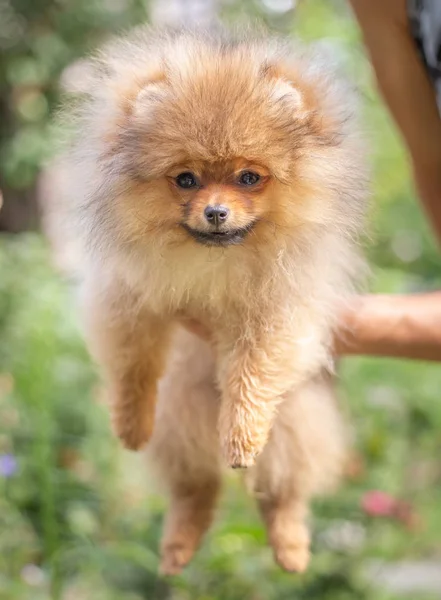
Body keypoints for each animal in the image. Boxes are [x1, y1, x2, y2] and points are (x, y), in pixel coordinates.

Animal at [60, 27, 366, 572]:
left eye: (249, 177)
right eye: (186, 179)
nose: (217, 212)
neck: (215, 258)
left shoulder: (277, 310)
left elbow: (253, 371)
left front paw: (241, 434)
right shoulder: (127, 295)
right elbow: (133, 363)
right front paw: (130, 421)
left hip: (296, 419)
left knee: (282, 489)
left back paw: (290, 547)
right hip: (179, 416)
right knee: (195, 485)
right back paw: (179, 545)